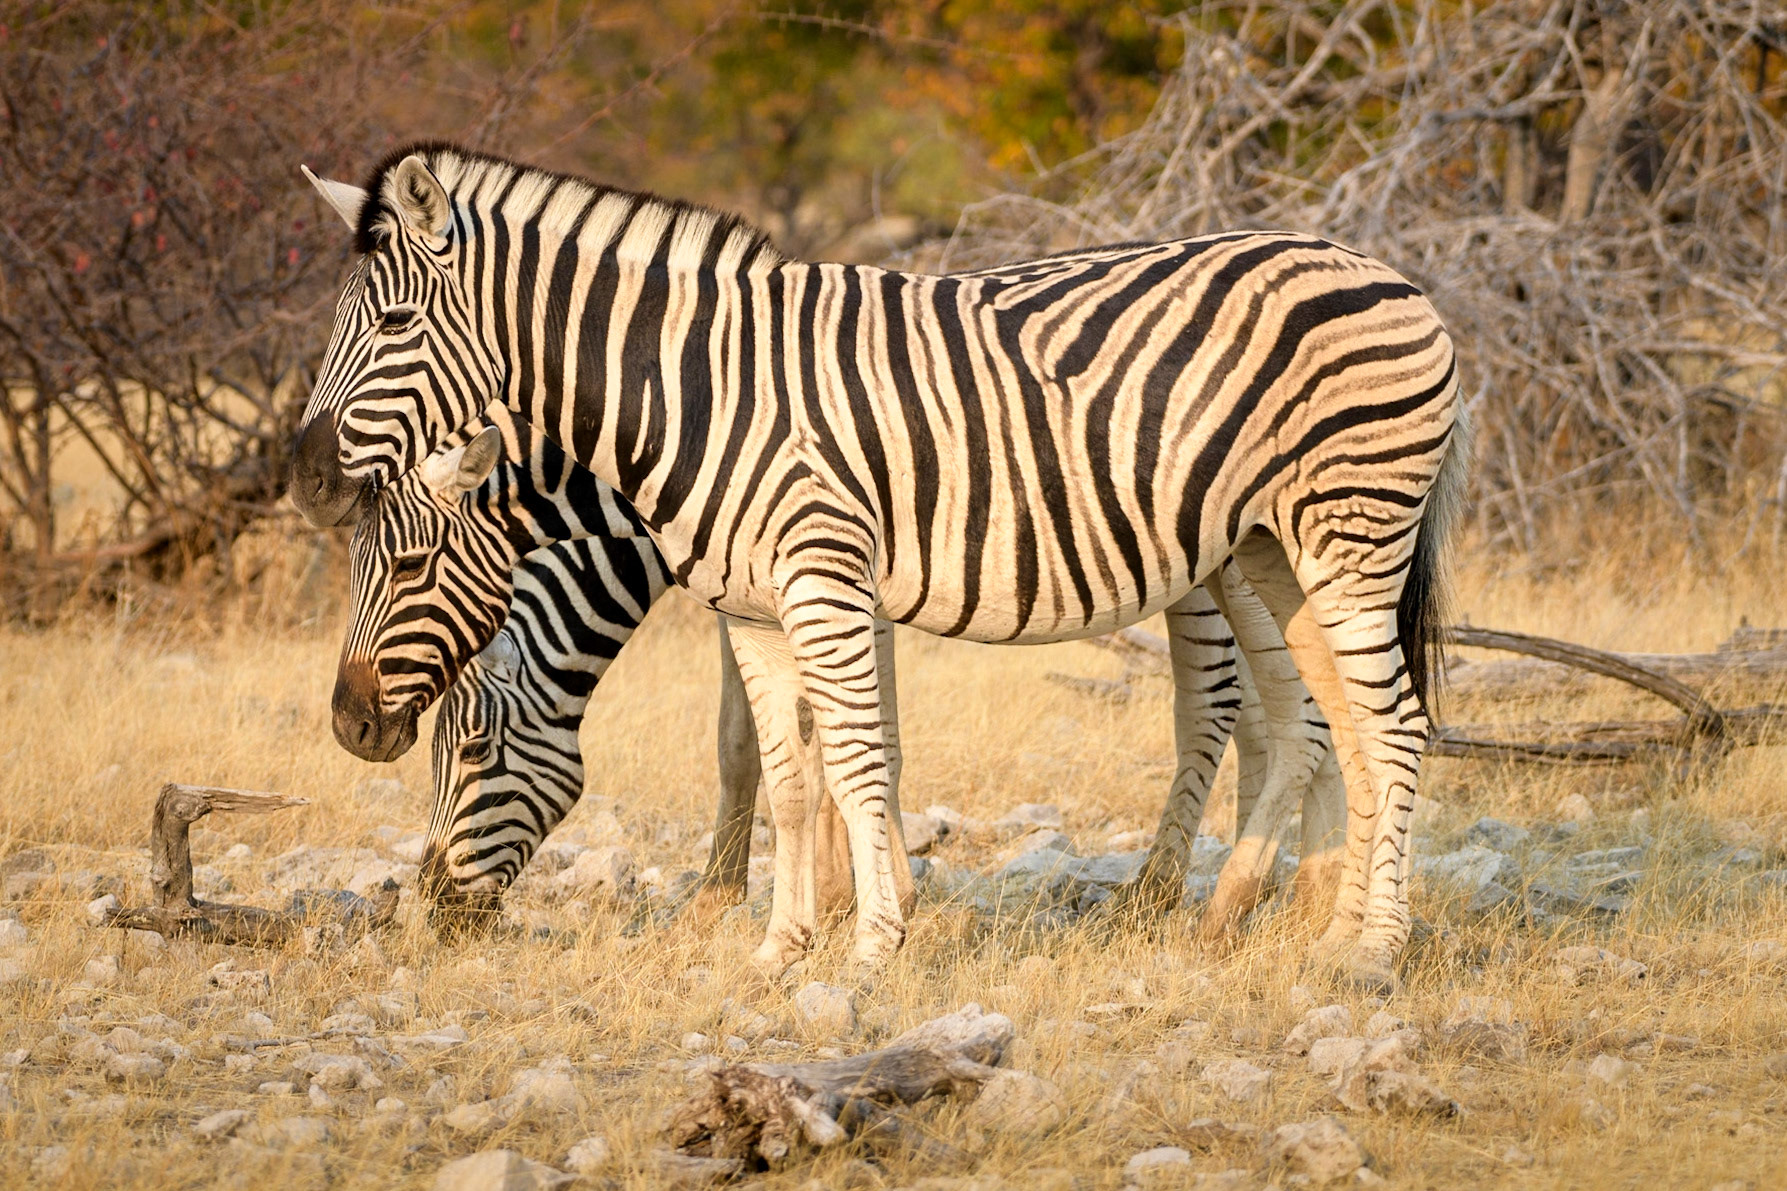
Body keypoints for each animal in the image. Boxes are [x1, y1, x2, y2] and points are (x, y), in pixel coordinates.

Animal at [292, 145, 1469, 986]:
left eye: (407, 564)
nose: (347, 726)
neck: (692, 394)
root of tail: (1385, 272)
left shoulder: (826, 578)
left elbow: (855, 760)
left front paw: (870, 943)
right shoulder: (759, 604)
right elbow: (785, 768)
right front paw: (780, 947)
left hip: (1342, 532)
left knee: (1375, 721)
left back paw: (1357, 947)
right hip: (1271, 549)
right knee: (1327, 718)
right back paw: (1305, 920)